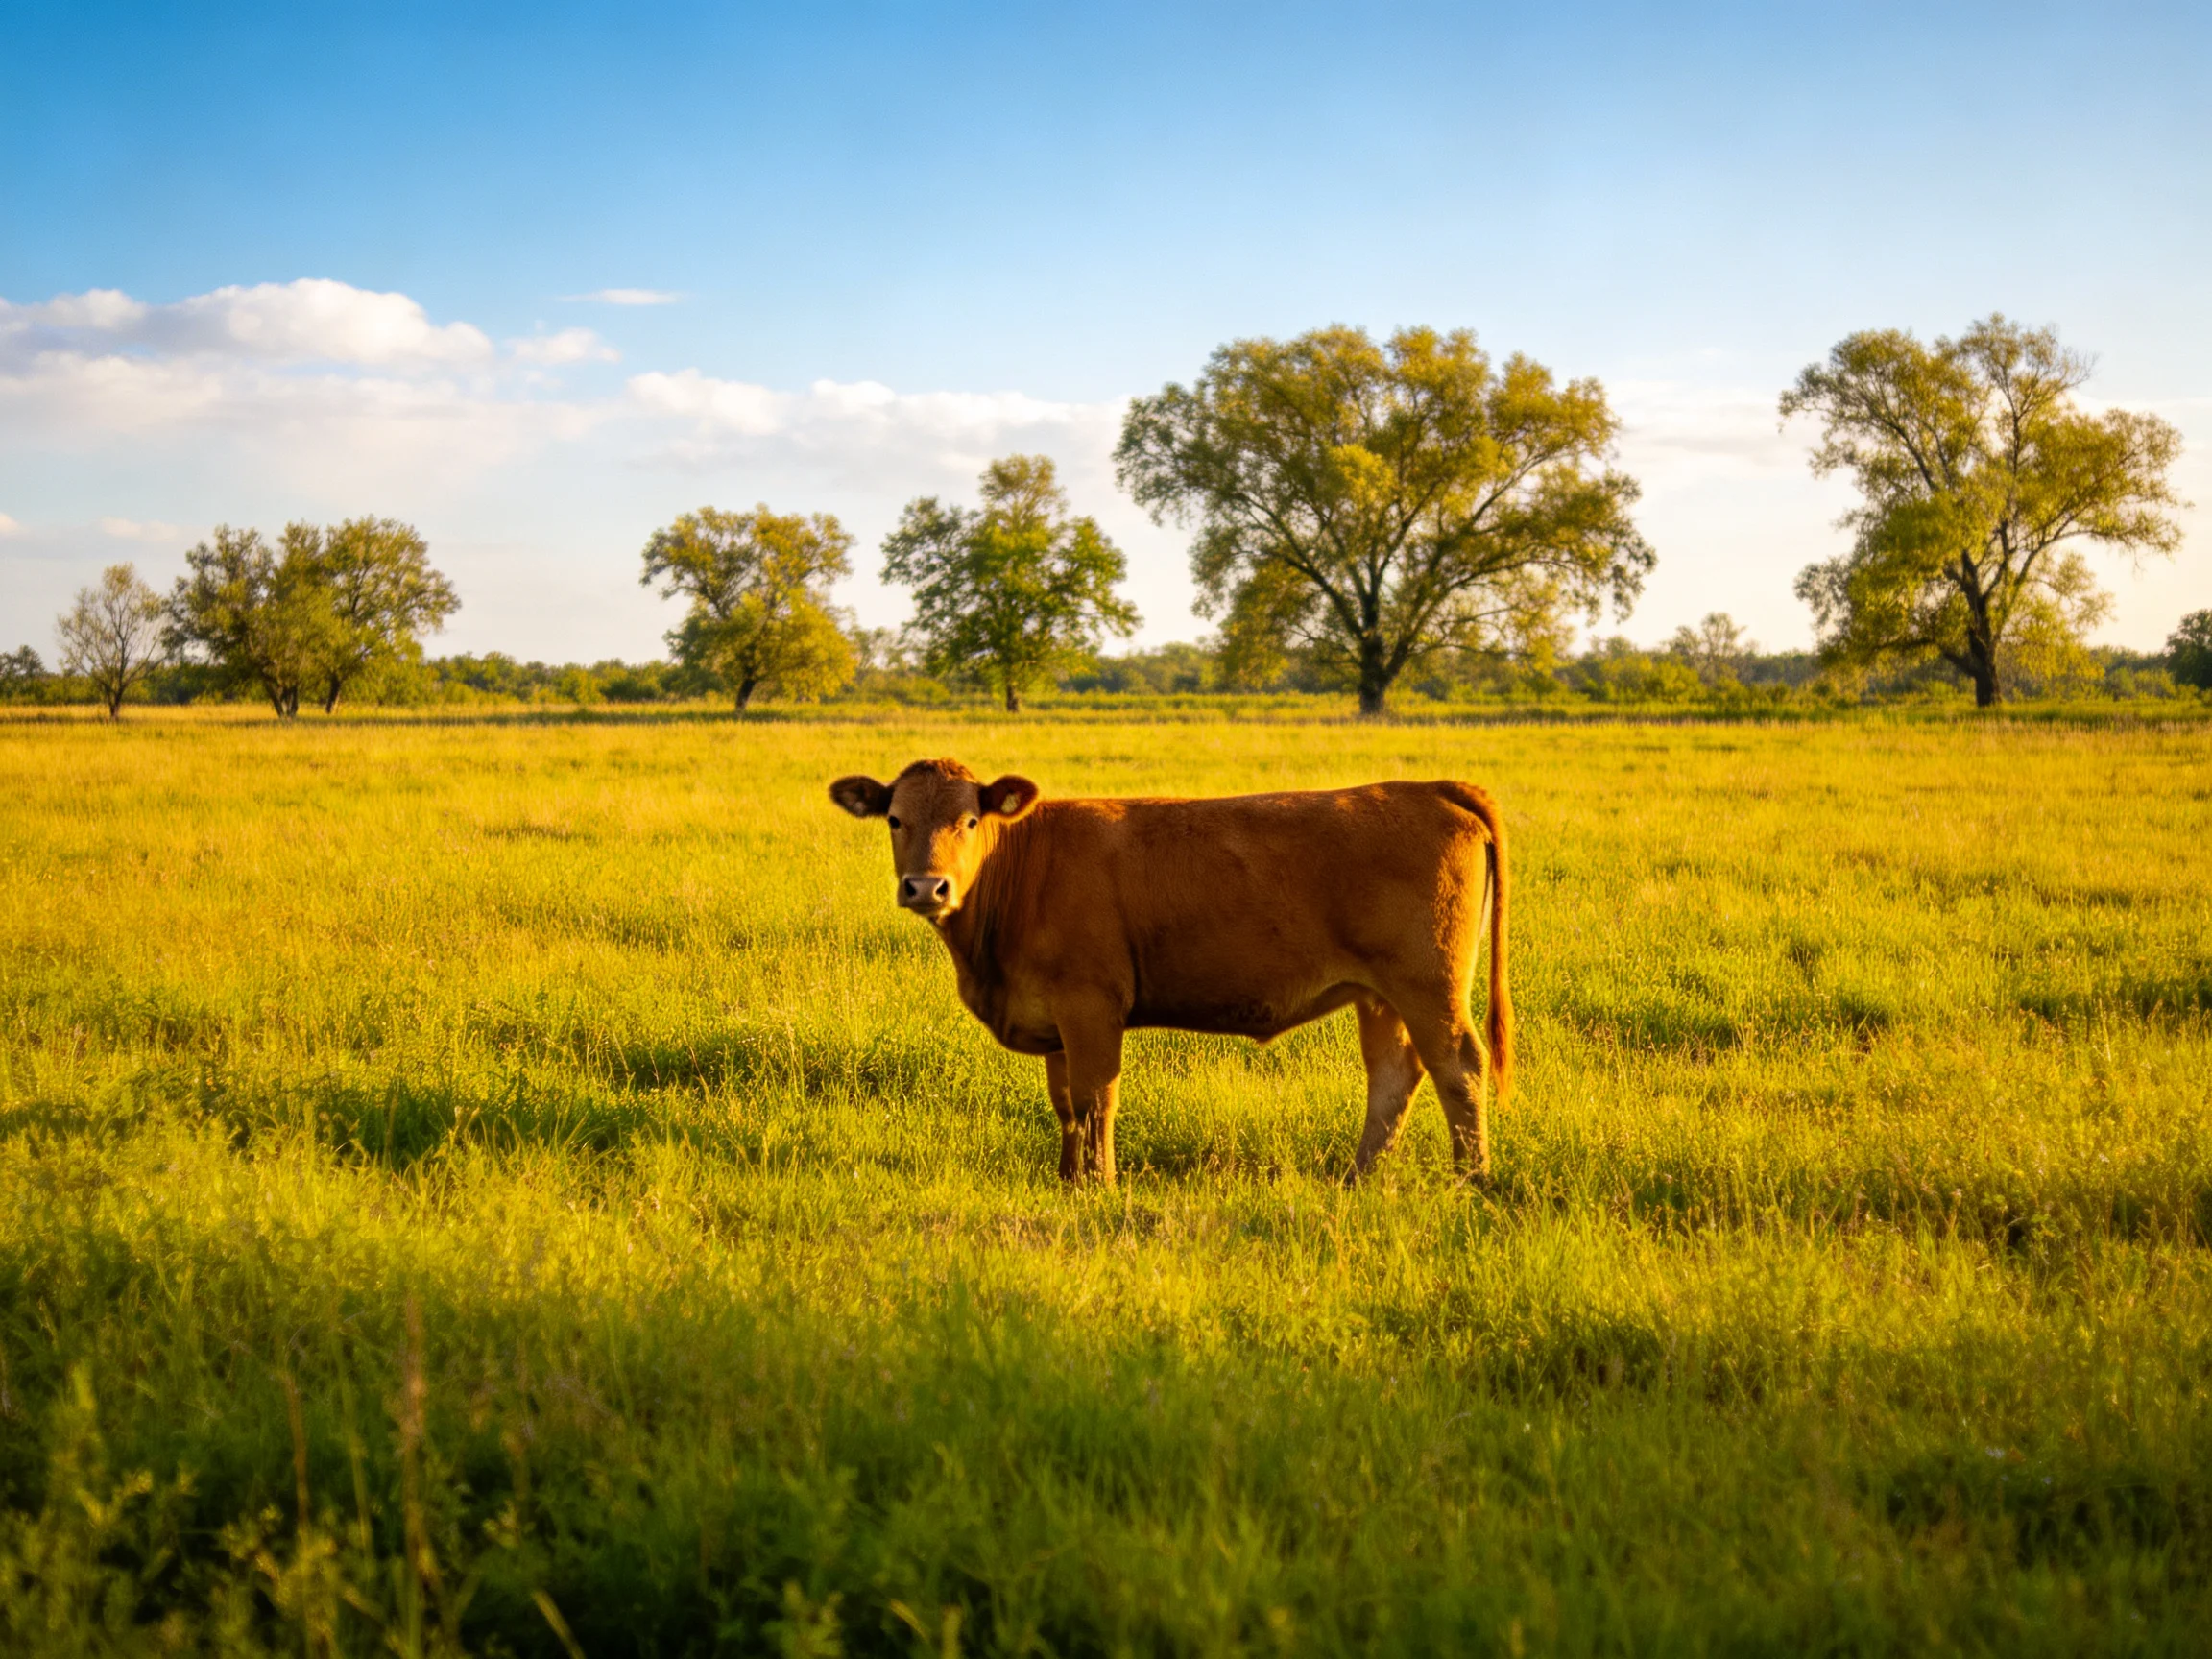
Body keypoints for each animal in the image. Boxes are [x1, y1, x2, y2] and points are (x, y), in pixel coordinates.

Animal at [828, 759, 1511, 1185]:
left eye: (970, 820)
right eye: (895, 819)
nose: (926, 887)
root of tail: (1425, 787)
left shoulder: (1090, 1005)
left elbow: (1096, 1098)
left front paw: (1097, 1186)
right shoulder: (1054, 1019)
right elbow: (1065, 1104)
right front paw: (1066, 1179)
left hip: (1429, 985)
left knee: (1458, 1067)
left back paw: (1470, 1180)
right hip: (1380, 995)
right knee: (1394, 1075)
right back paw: (1358, 1176)